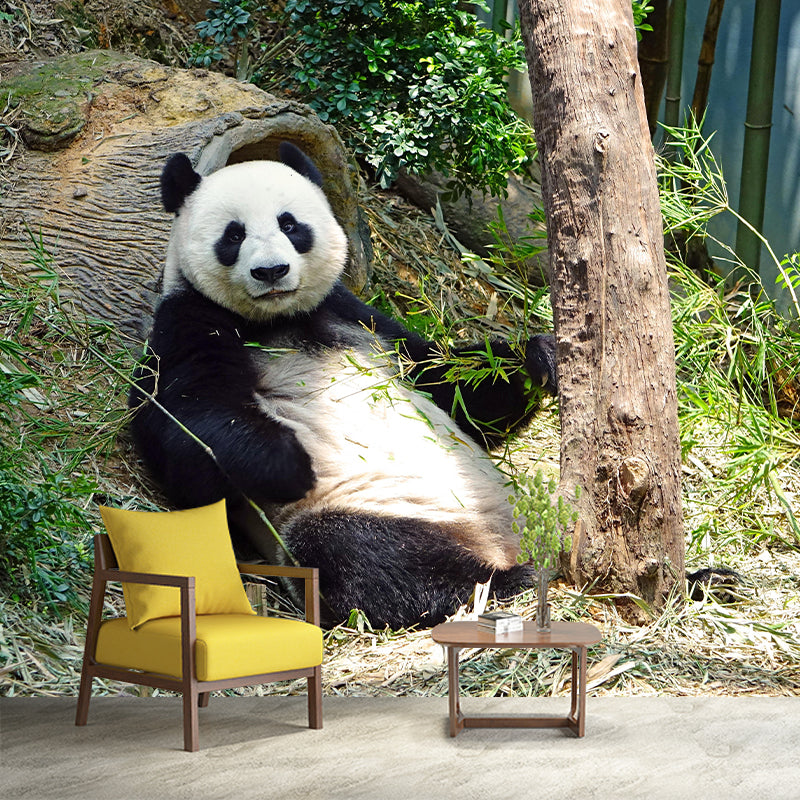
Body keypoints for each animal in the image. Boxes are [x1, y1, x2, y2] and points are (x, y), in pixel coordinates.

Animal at [129, 142, 558, 630]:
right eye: (233, 235)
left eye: (290, 224)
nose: (271, 271)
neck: (278, 320)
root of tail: (495, 542)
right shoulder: (188, 322)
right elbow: (182, 428)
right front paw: (288, 462)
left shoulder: (358, 317)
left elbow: (450, 386)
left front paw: (539, 358)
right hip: (370, 507)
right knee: (367, 555)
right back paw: (500, 582)